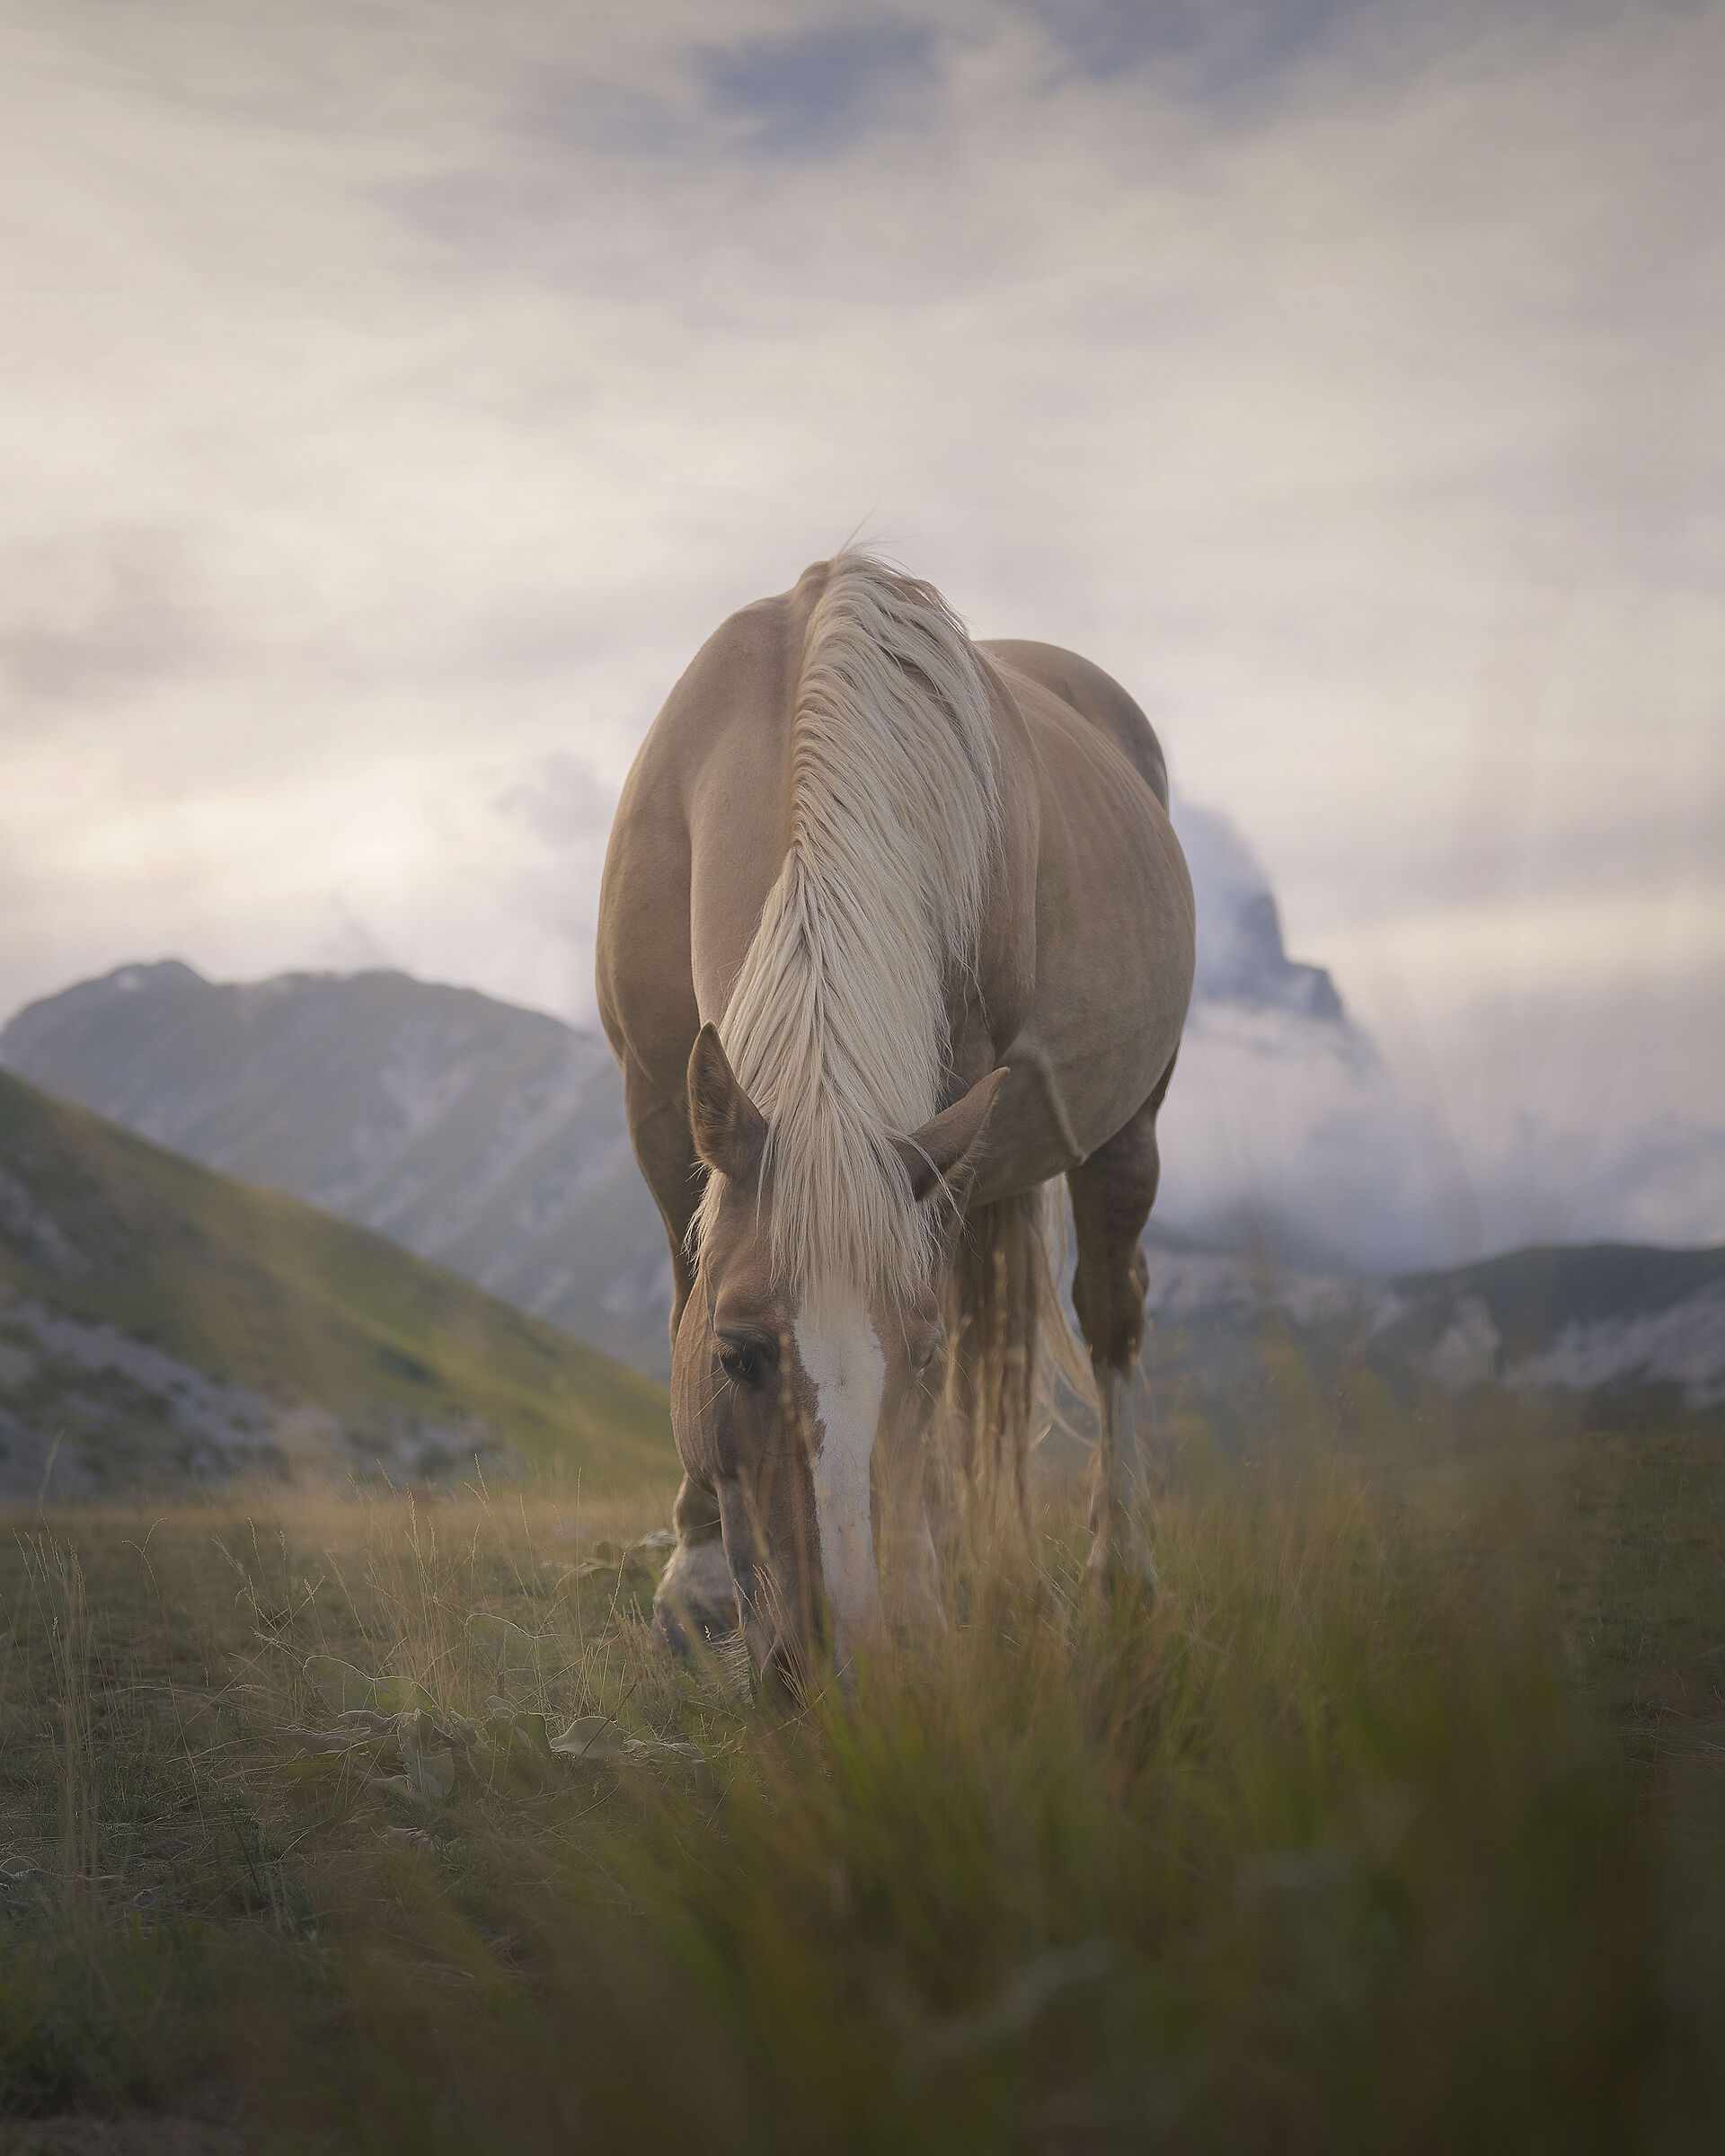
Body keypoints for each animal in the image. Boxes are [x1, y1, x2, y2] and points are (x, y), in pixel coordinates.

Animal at [595, 552, 1194, 1687]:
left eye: (908, 1359)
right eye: (737, 1354)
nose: (839, 1659)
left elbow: (954, 1370)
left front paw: (919, 1590)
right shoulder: (658, 1107)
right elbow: (682, 1286)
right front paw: (696, 1586)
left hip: (1125, 1129)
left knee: (1107, 1320)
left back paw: (1118, 1569)